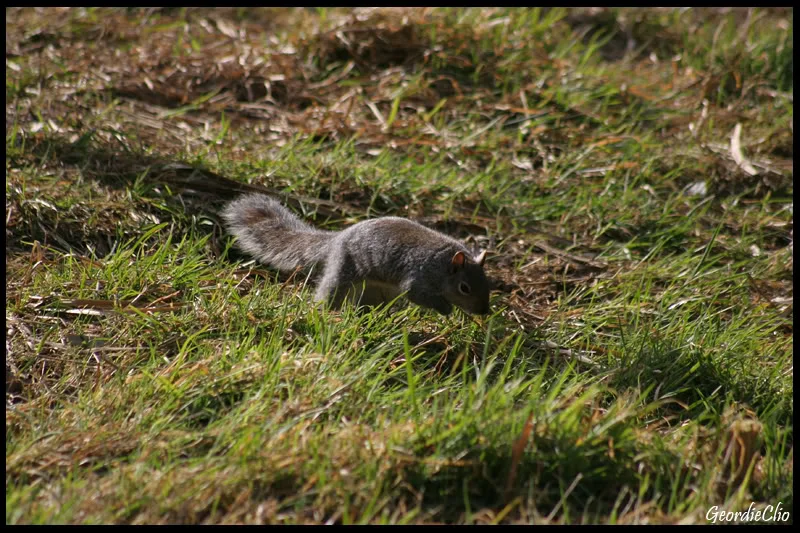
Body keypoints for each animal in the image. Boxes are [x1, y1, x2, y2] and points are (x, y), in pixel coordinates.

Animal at [221, 194, 491, 316]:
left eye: (488, 283)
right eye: (464, 288)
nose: (484, 312)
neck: (443, 264)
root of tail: (337, 238)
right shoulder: (419, 277)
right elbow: (415, 293)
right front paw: (447, 310)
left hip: (377, 290)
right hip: (343, 269)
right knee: (330, 291)